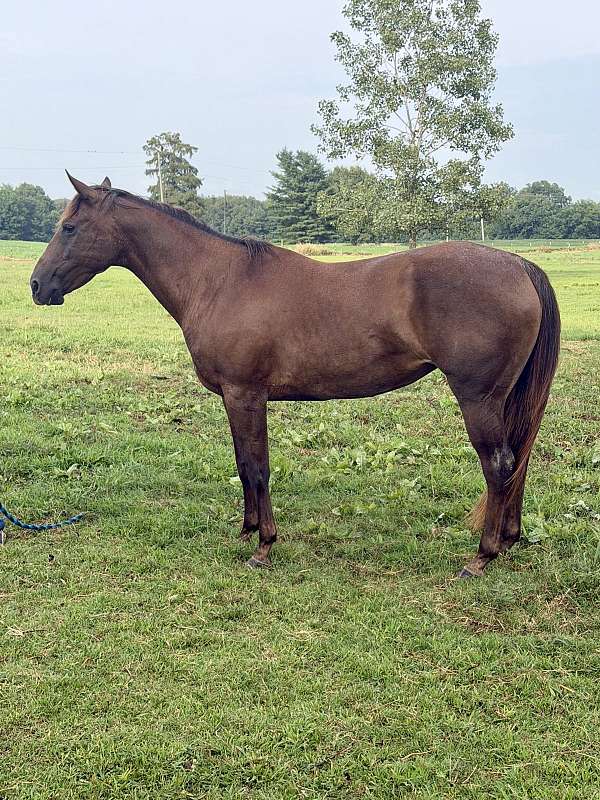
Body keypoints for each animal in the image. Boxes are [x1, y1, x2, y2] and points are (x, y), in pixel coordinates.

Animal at [30, 174, 560, 577]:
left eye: (70, 227)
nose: (37, 286)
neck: (219, 281)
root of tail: (518, 265)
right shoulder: (234, 398)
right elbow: (244, 463)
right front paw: (245, 531)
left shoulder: (245, 394)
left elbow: (259, 466)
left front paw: (264, 546)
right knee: (517, 462)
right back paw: (508, 540)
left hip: (478, 399)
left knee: (499, 466)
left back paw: (482, 557)